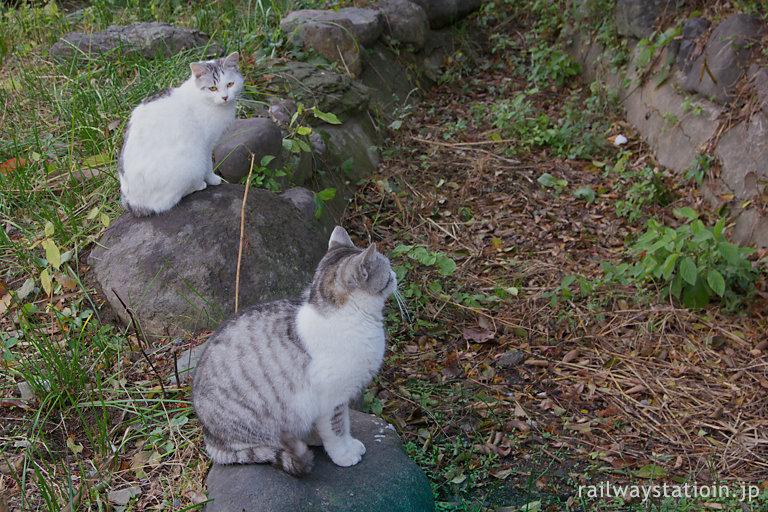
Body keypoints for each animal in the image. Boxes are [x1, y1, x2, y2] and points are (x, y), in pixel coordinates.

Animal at [118, 53, 243, 217]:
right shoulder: (206, 146)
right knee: (168, 202)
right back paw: (198, 185)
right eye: (212, 88)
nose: (225, 97)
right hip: (191, 163)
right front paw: (213, 179)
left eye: (230, 84)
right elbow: (209, 166)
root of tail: (133, 204)